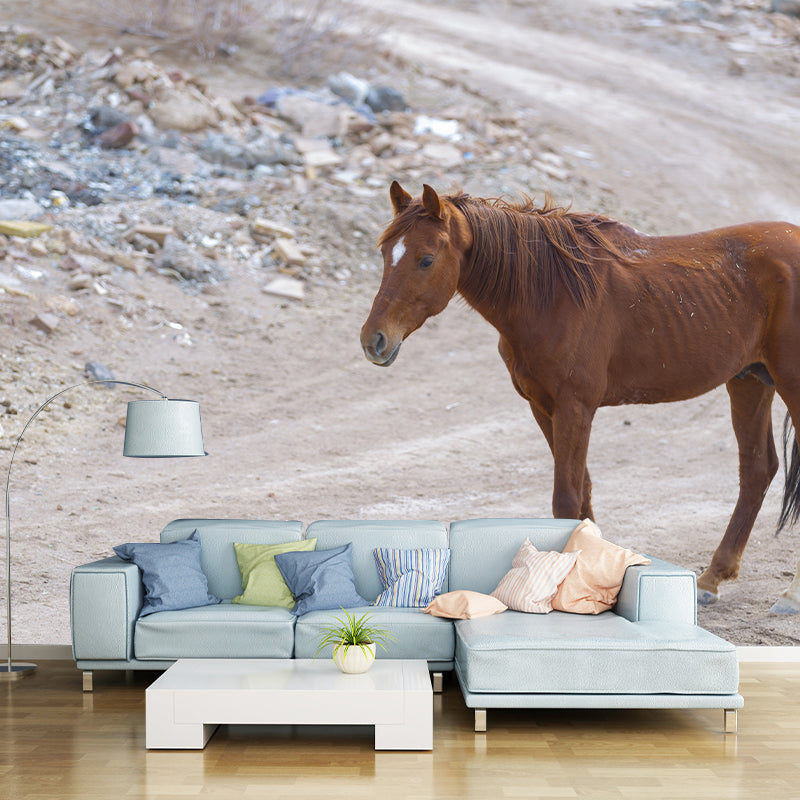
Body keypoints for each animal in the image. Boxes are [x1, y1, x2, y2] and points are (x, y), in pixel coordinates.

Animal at [360, 181, 800, 613]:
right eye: (385, 254)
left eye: (426, 259)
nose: (373, 340)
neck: (552, 293)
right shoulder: (544, 407)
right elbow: (583, 494)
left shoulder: (575, 407)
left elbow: (567, 500)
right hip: (749, 381)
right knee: (757, 470)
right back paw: (712, 579)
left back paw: (789, 595)